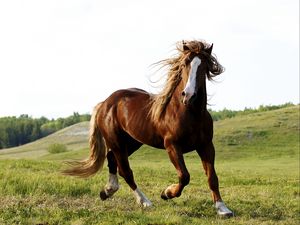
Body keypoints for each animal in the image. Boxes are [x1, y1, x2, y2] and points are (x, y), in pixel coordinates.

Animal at [63, 39, 234, 217]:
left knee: (112, 159)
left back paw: (107, 191)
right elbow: (184, 176)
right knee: (125, 171)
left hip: (132, 143)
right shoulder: (172, 146)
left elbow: (212, 177)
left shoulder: (206, 146)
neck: (190, 113)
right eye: (184, 64)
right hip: (117, 143)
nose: (188, 95)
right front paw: (167, 193)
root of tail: (105, 103)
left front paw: (222, 208)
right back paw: (145, 201)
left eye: (204, 66)